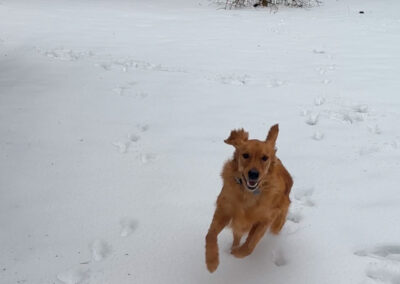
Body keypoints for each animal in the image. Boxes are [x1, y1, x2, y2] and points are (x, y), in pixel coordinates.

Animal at [205, 124, 292, 272]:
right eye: (245, 155)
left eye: (264, 158)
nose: (253, 174)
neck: (248, 194)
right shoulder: (225, 209)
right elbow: (210, 235)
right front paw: (211, 262)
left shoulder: (266, 218)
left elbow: (251, 244)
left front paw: (238, 253)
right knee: (236, 236)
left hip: (279, 215)